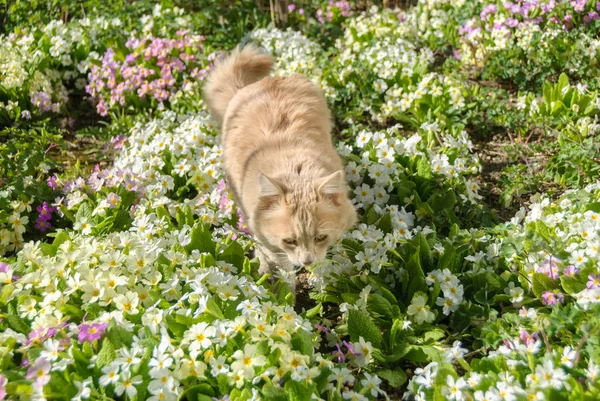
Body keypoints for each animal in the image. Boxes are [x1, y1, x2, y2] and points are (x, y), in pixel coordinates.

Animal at [204, 43, 358, 290]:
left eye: (320, 238)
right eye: (290, 241)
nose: (307, 261)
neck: (296, 171)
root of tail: (265, 82)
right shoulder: (268, 240)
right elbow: (281, 268)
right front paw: (281, 293)